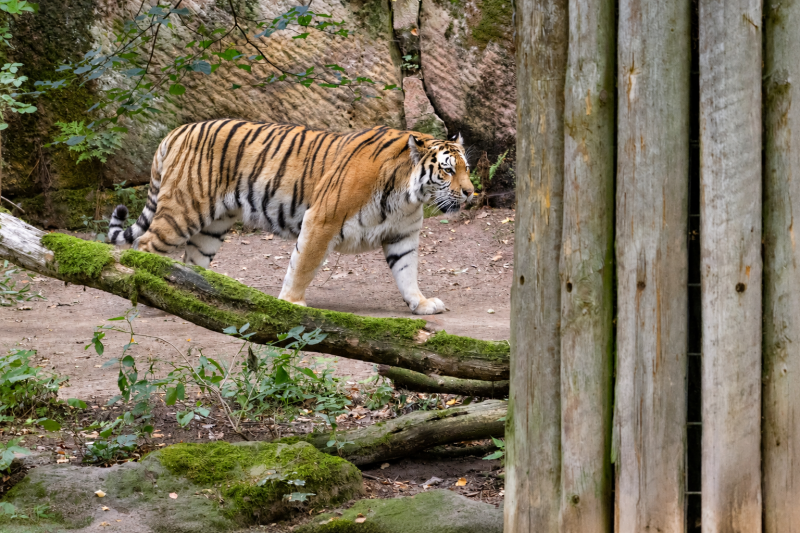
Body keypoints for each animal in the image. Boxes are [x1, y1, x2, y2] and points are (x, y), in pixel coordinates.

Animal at [108, 119, 475, 315]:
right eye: (447, 170)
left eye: (466, 169)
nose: (471, 192)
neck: (407, 195)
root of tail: (176, 131)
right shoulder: (322, 220)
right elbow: (303, 264)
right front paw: (293, 304)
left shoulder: (403, 236)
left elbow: (407, 273)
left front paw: (421, 303)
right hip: (182, 211)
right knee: (145, 246)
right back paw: (151, 297)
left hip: (213, 226)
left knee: (192, 261)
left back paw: (193, 297)